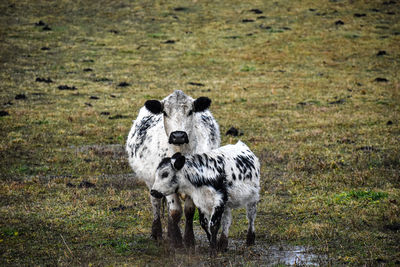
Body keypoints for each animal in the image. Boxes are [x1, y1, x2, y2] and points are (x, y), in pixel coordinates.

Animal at [125, 90, 220, 249]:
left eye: (191, 111)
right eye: (164, 112)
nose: (178, 135)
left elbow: (188, 210)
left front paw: (188, 240)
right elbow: (175, 211)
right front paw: (176, 242)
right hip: (151, 182)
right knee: (156, 203)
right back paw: (157, 233)